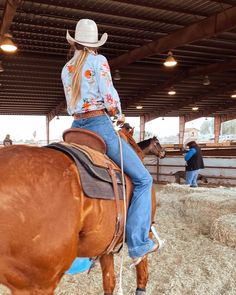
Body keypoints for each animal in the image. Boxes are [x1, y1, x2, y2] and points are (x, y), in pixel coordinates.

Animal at [0, 131, 164, 295]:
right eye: (157, 143)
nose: (163, 153)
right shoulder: (146, 232)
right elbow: (142, 273)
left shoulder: (106, 248)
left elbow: (109, 282)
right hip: (37, 285)